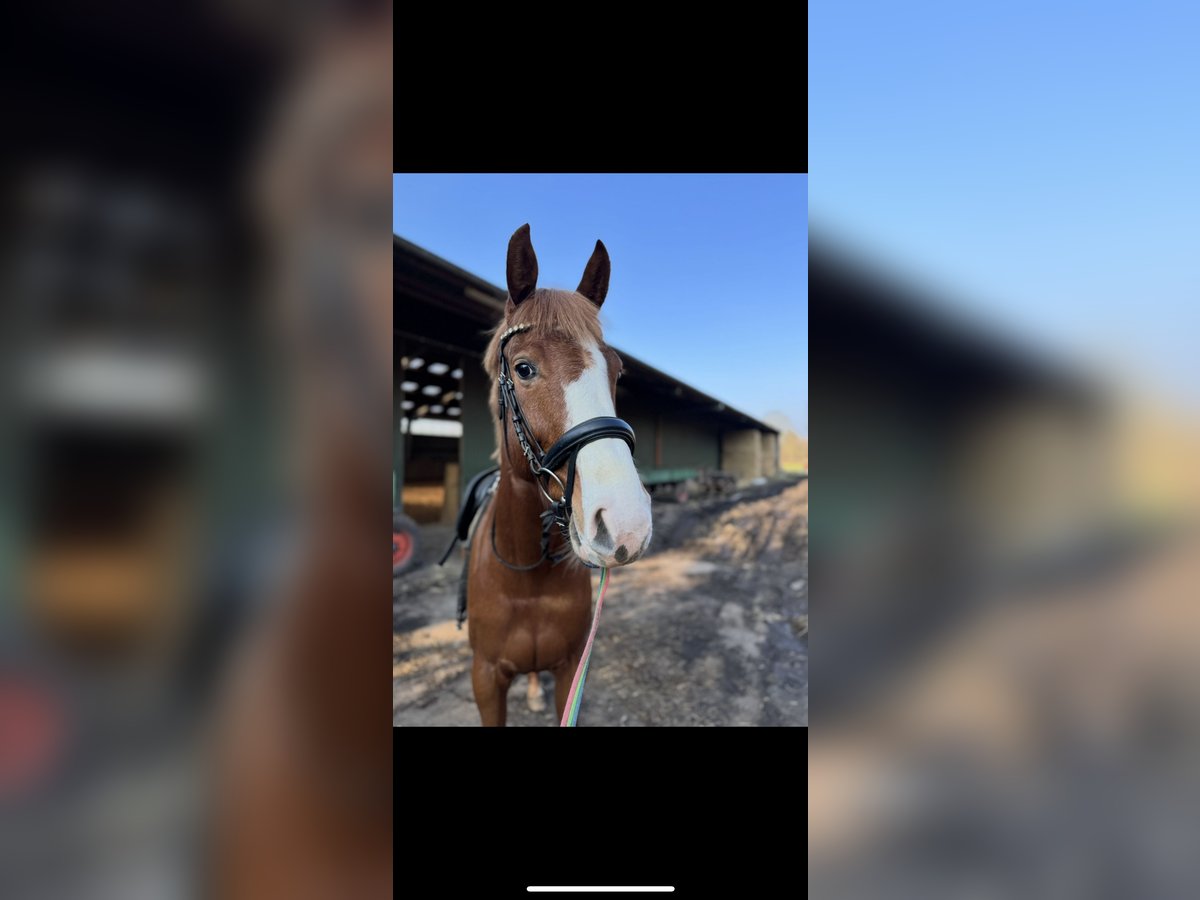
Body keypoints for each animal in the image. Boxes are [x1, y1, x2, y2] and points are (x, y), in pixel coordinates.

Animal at [465, 224, 653, 726]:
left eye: (617, 370)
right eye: (523, 368)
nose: (627, 524)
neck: (527, 576)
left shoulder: (570, 670)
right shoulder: (486, 680)